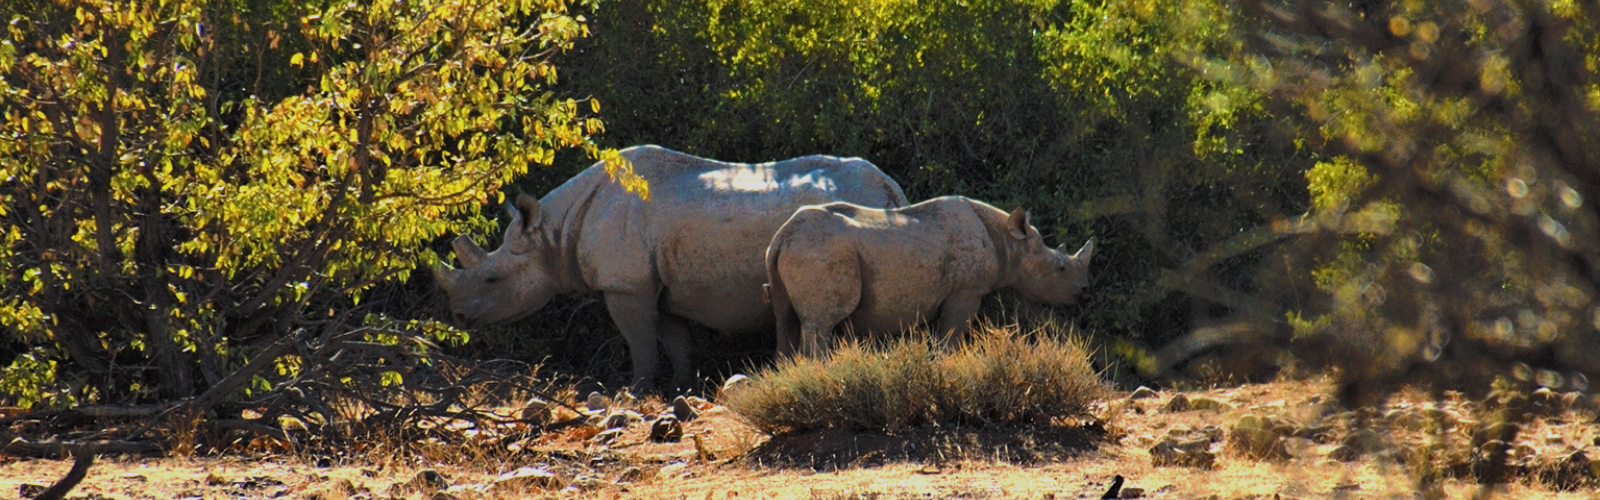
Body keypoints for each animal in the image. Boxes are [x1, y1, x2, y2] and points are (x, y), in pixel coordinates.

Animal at [438, 144, 908, 391]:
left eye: (492, 278)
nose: (458, 316)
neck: (554, 232)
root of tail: (889, 187)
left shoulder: (624, 285)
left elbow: (640, 342)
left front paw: (634, 391)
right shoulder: (655, 285)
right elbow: (675, 340)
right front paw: (682, 388)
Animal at [758, 194, 1088, 355]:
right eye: (1060, 268)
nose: (1082, 293)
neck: (1010, 241)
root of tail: (781, 237)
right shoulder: (966, 291)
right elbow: (951, 336)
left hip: (791, 251)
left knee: (784, 317)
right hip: (819, 250)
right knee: (821, 323)